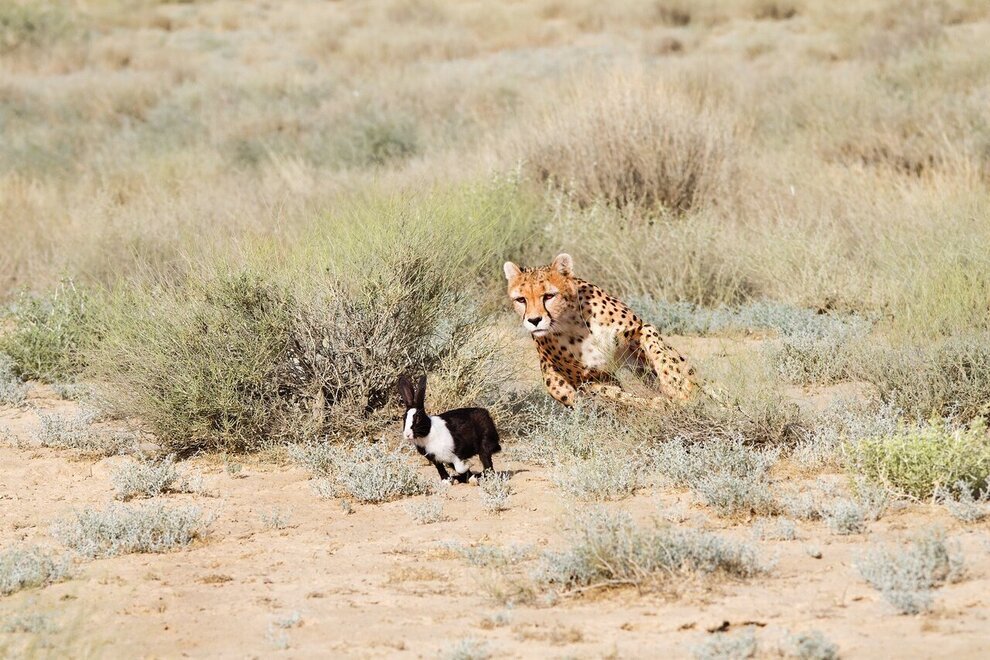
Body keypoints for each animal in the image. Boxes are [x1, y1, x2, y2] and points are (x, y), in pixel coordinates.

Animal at [504, 254, 696, 404]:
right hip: (554, 381)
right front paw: (658, 403)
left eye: (549, 296)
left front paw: (675, 384)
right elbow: (616, 395)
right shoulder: (589, 379)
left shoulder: (637, 332)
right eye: (521, 300)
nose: (534, 320)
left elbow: (654, 342)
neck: (573, 323)